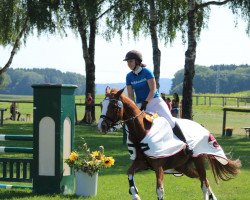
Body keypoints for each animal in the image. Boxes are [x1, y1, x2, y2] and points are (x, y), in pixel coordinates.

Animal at [97, 88, 240, 200]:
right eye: (102, 105)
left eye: (114, 106)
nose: (101, 126)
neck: (141, 132)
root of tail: (202, 127)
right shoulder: (141, 163)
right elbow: (130, 175)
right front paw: (135, 195)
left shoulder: (158, 166)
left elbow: (159, 190)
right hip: (183, 167)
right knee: (204, 181)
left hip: (197, 160)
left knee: (204, 184)